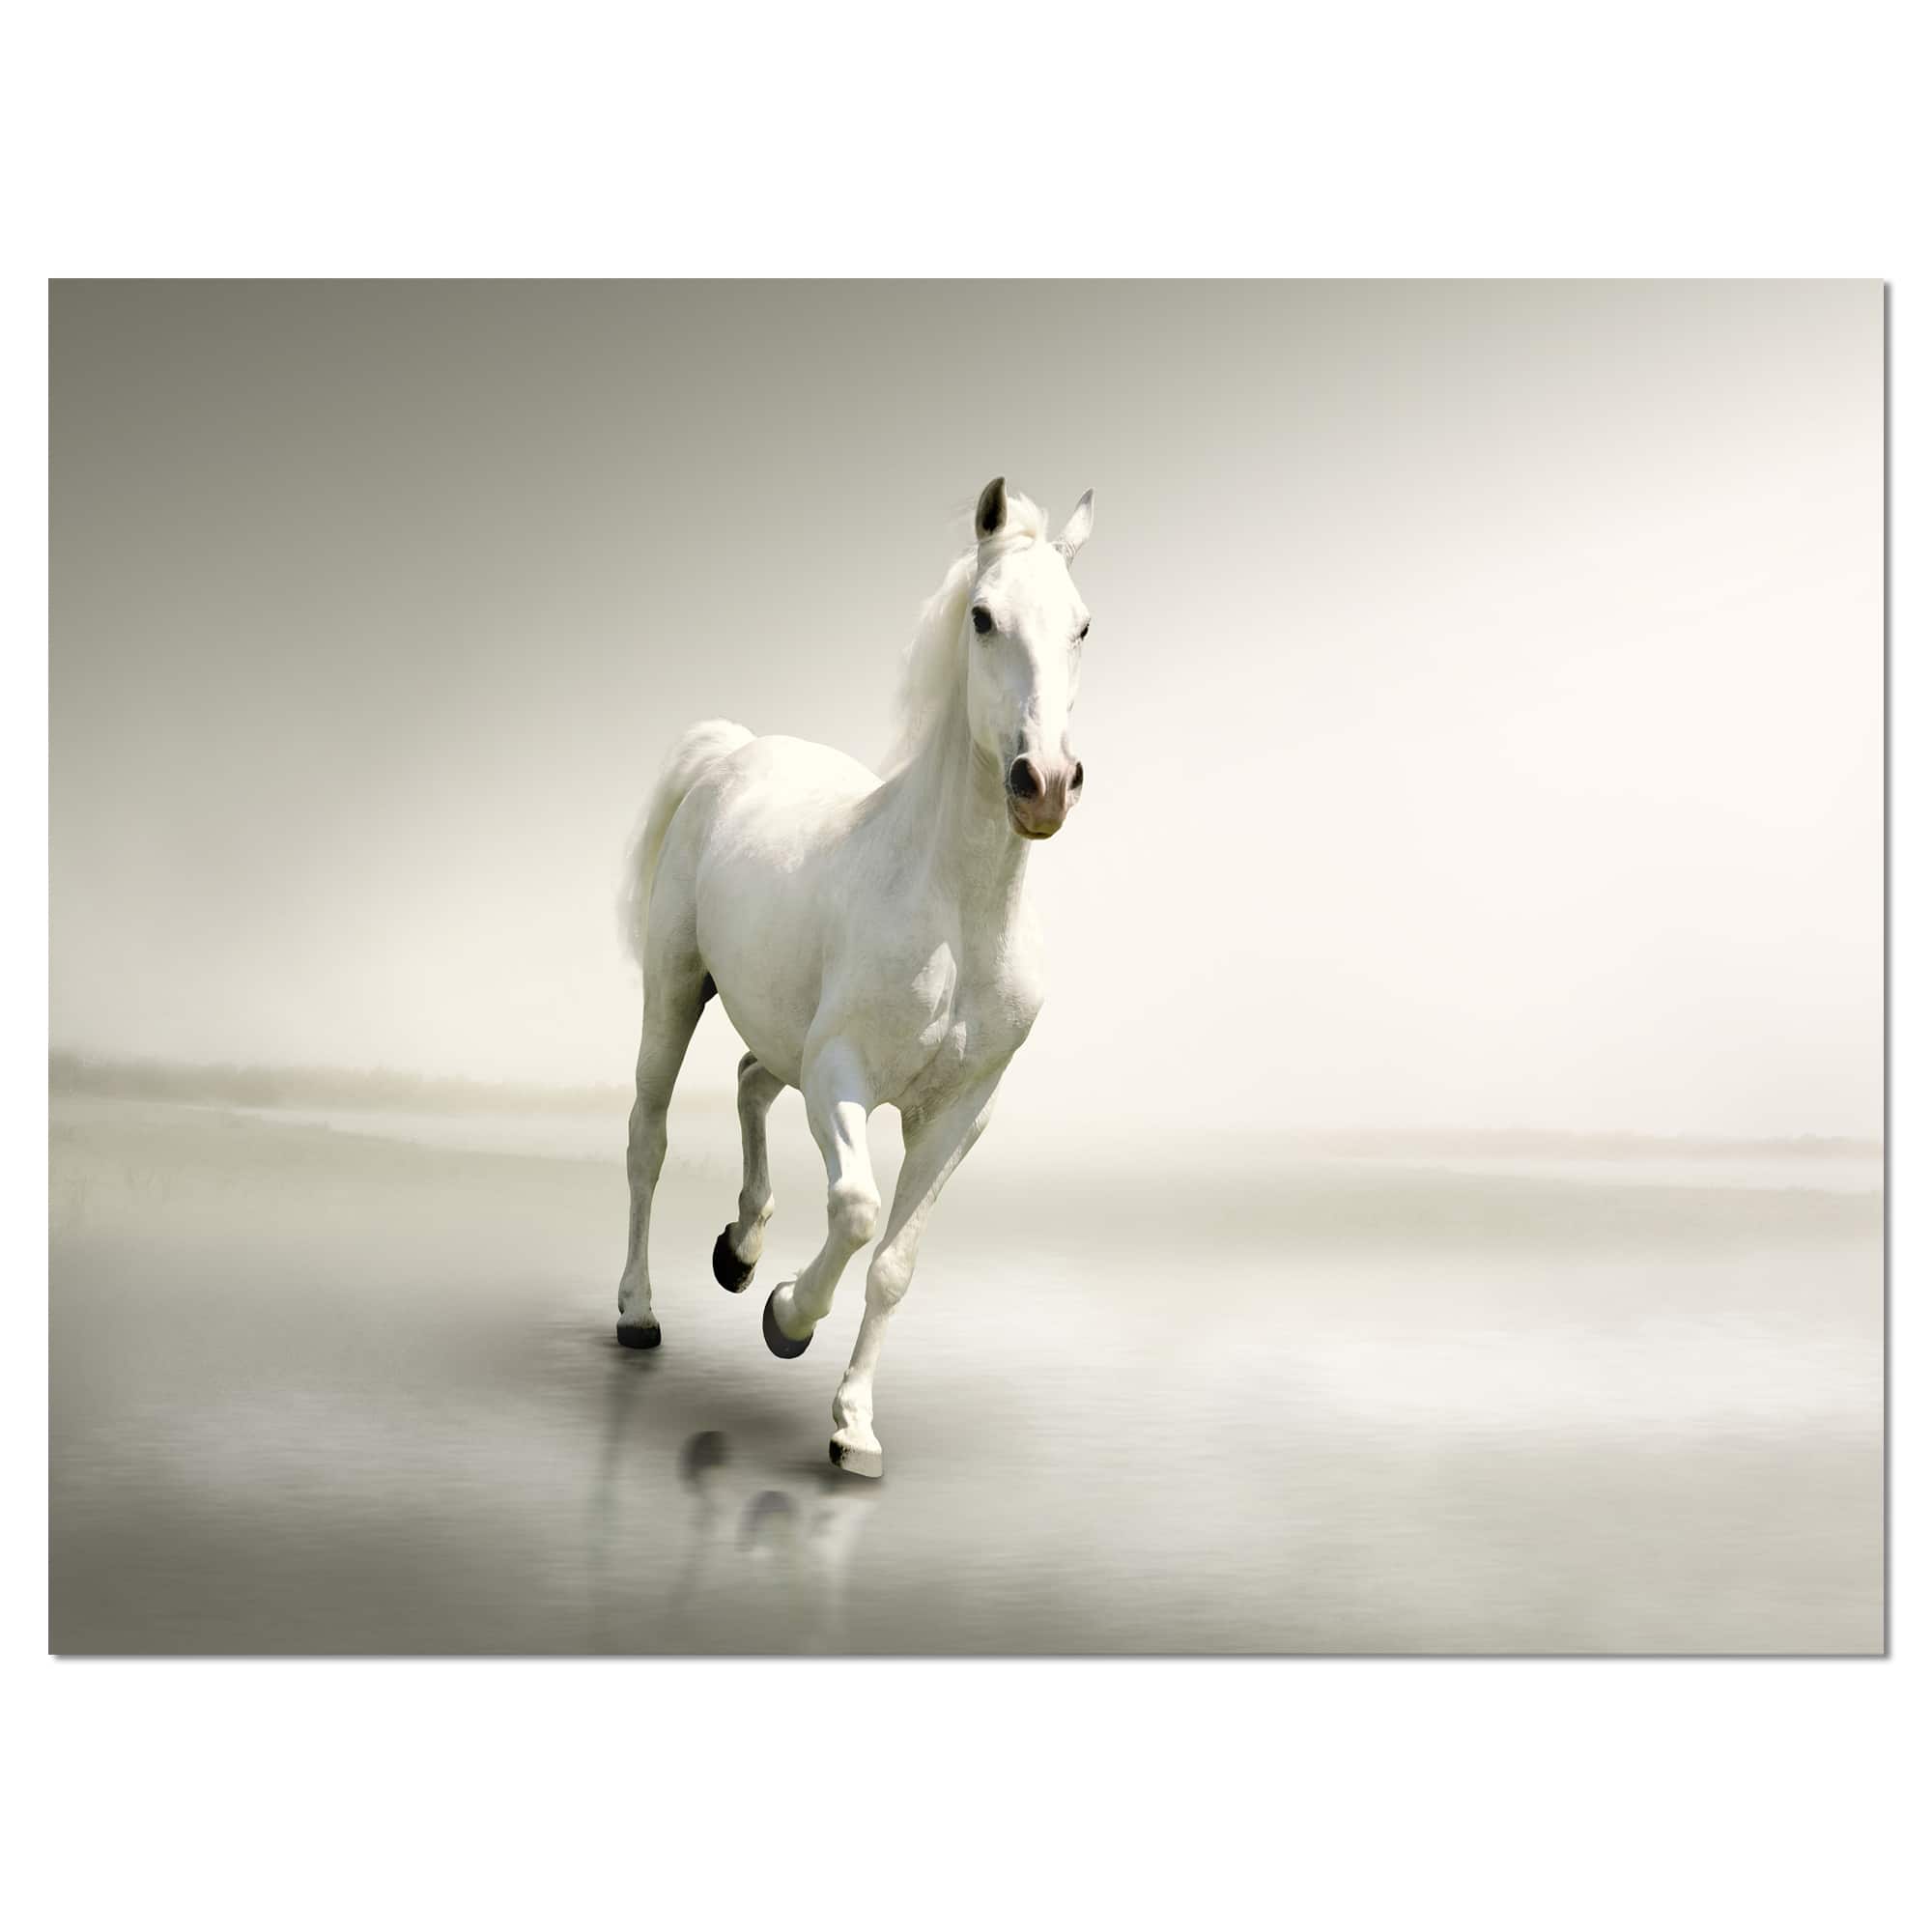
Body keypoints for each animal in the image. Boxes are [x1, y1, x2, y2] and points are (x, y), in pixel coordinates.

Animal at [614, 476, 1095, 1478]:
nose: (1045, 783)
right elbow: (859, 1209)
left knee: (751, 1079)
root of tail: (734, 751)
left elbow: (896, 1266)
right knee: (648, 1136)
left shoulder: (959, 1114)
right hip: (674, 992)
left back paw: (740, 1248)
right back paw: (640, 1311)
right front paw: (786, 1319)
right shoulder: (842, 1076)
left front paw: (855, 1429)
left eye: (1081, 624)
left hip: (778, 1031)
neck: (956, 911)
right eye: (983, 617)